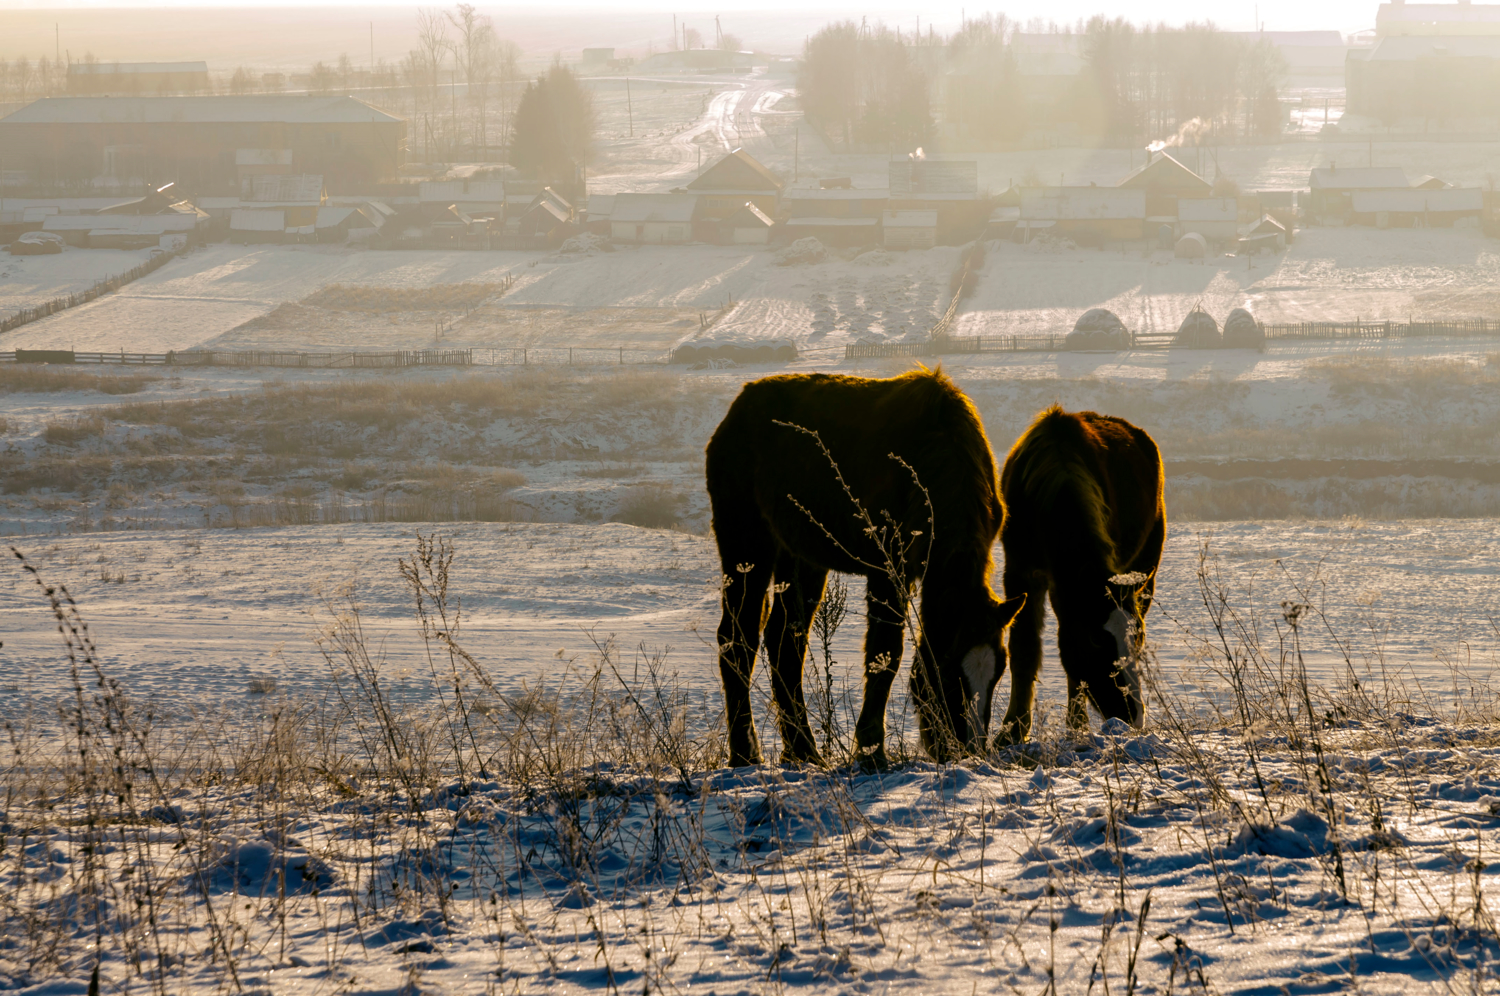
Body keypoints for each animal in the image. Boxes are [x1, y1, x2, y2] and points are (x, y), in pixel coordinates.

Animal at [708, 369, 1026, 765]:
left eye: (999, 670)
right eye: (949, 670)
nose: (967, 749)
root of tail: (736, 411)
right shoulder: (887, 570)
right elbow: (885, 654)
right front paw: (871, 750)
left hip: (799, 558)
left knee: (784, 642)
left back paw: (803, 751)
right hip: (746, 546)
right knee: (737, 639)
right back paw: (746, 753)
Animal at [996, 405, 1170, 738]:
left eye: (1137, 638)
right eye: (1096, 639)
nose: (1132, 716)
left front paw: (1076, 727)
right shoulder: (1021, 572)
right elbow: (1024, 649)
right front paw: (1012, 731)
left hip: (1146, 572)